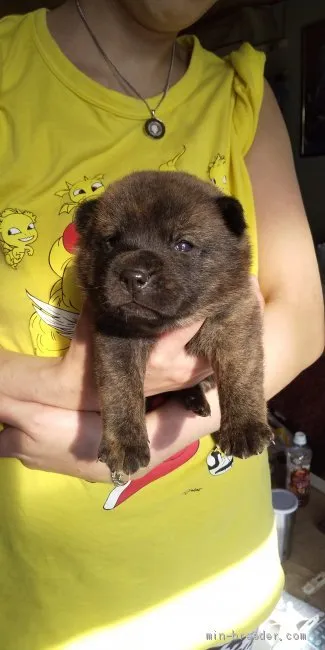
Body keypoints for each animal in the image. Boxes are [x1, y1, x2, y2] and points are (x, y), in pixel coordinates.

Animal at [74, 170, 272, 478]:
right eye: (111, 242)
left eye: (183, 245)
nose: (133, 276)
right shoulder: (115, 337)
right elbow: (120, 390)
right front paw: (124, 446)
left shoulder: (235, 319)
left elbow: (242, 374)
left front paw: (245, 428)